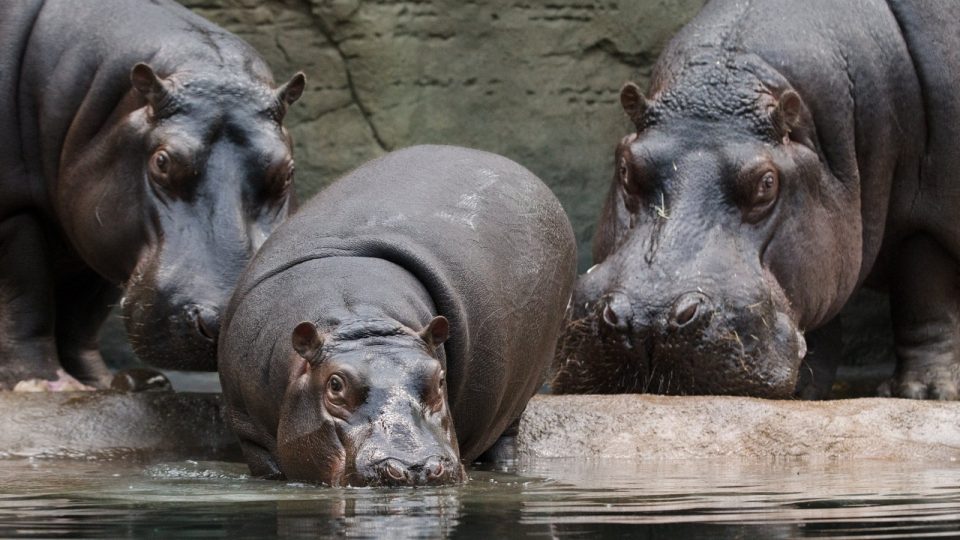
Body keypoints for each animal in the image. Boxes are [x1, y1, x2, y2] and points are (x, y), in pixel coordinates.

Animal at [0, 0, 304, 388]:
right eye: (162, 161)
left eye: (286, 171)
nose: (225, 326)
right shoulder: (15, 210)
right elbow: (27, 297)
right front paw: (44, 384)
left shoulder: (99, 235)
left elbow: (81, 316)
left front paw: (100, 382)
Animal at [219, 144, 576, 486]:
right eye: (335, 385)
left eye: (440, 379)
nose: (415, 466)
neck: (361, 322)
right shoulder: (251, 436)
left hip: (520, 397)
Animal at [552, 1, 960, 400]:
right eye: (625, 167)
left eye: (767, 183)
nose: (647, 319)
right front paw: (805, 392)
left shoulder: (928, 222)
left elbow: (925, 297)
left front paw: (924, 392)